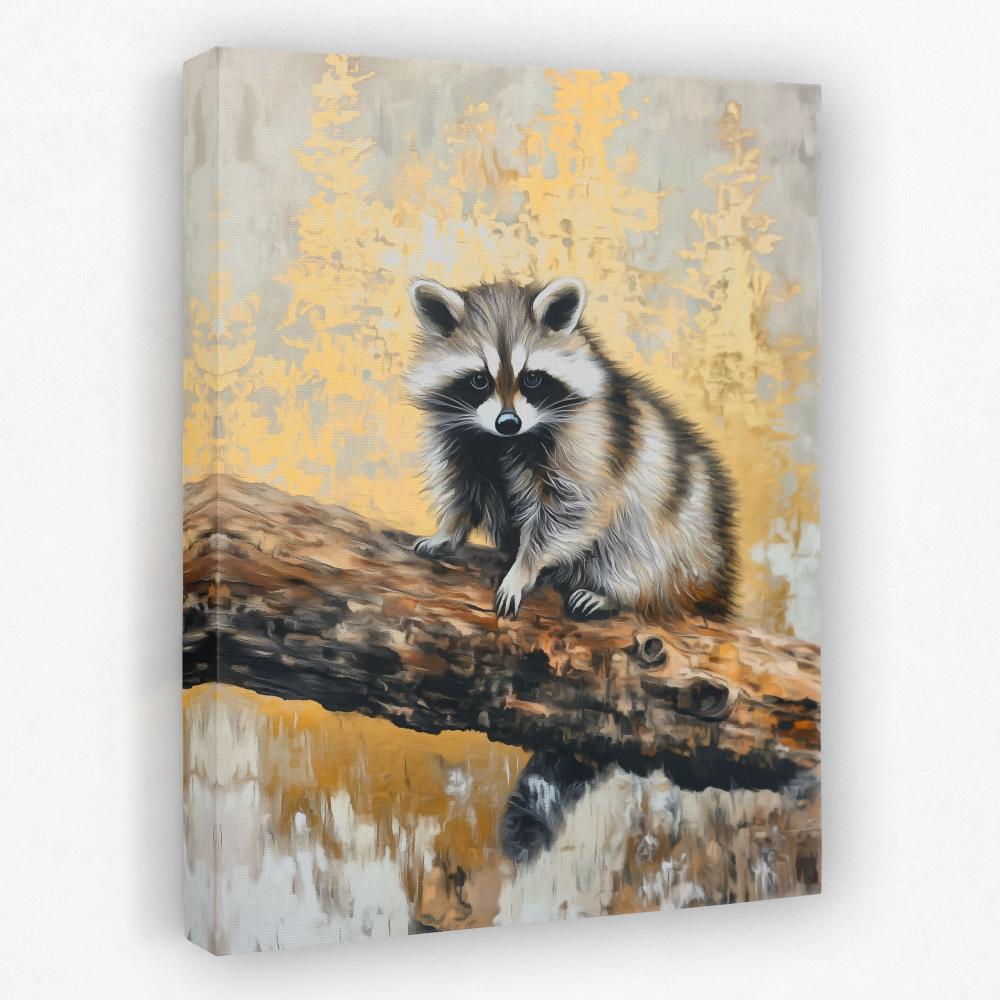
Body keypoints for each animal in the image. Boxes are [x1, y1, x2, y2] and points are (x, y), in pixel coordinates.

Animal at [405, 276, 737, 622]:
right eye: (480, 380)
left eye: (532, 378)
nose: (508, 422)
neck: (504, 441)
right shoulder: (458, 437)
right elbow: (461, 490)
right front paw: (448, 531)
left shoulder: (588, 439)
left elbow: (570, 509)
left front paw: (522, 570)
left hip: (679, 538)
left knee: (639, 556)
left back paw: (615, 594)